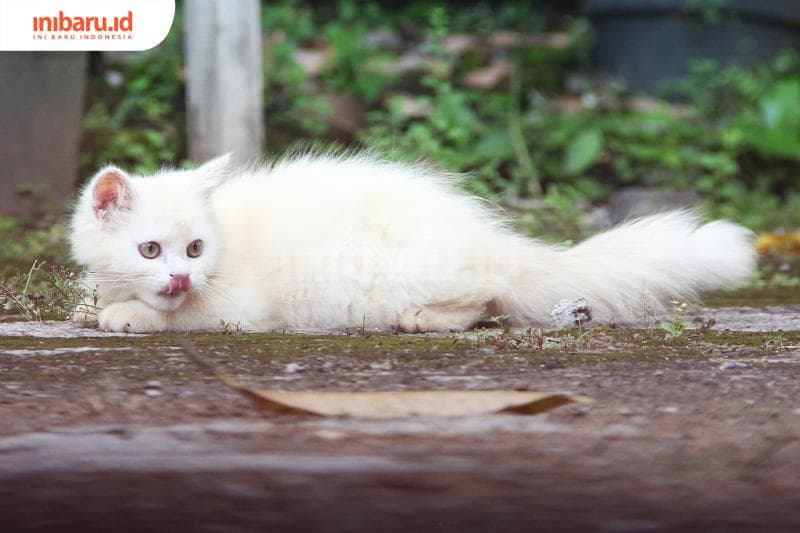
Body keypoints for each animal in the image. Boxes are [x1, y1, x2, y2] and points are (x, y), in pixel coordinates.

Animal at [69, 152, 756, 330]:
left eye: (194, 250)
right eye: (151, 250)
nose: (181, 276)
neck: (232, 238)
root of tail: (494, 241)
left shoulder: (239, 306)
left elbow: (182, 316)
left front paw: (129, 316)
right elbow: (93, 293)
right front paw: (94, 304)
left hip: (381, 271)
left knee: (485, 296)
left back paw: (424, 319)